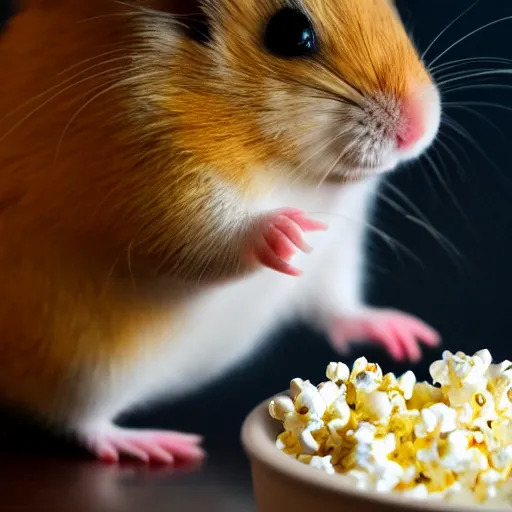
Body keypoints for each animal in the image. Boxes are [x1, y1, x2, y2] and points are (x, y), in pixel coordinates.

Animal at [0, 0, 440, 464]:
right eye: (290, 33)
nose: (421, 127)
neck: (294, 168)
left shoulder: (336, 253)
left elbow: (341, 305)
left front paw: (406, 336)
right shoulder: (153, 178)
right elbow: (213, 232)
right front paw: (287, 230)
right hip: (84, 370)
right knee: (81, 424)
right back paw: (155, 445)